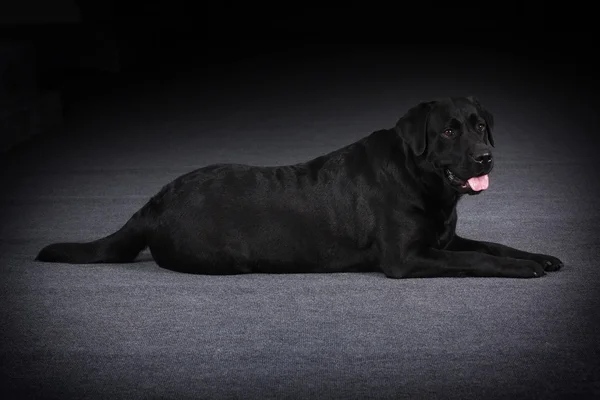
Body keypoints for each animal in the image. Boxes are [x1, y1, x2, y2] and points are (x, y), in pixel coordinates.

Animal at [36, 97, 564, 278]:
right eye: (450, 131)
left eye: (480, 127)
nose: (486, 156)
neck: (424, 182)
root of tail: (153, 200)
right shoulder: (408, 258)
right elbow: (478, 258)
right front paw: (522, 269)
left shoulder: (443, 239)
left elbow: (493, 244)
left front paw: (539, 257)